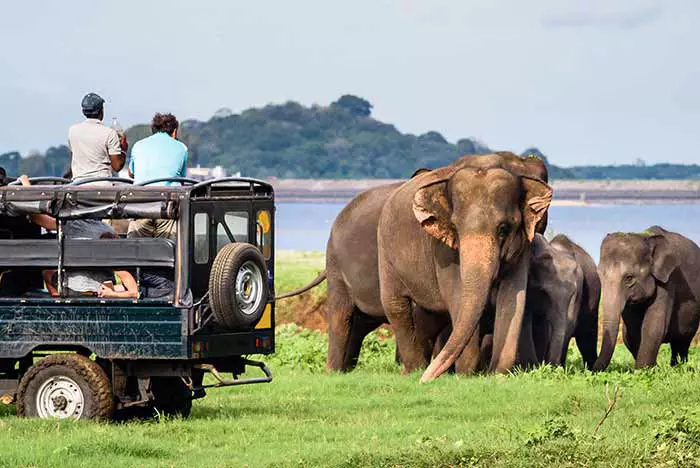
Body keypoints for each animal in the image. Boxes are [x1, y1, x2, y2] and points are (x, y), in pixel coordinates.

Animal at [378, 154, 552, 380]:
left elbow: (513, 296)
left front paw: (496, 375)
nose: (425, 381)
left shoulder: (523, 245)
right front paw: (466, 375)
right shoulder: (443, 250)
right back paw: (414, 371)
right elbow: (457, 295)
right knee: (395, 305)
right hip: (385, 251)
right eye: (455, 228)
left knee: (427, 315)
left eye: (503, 229)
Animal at [524, 234, 600, 370]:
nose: (549, 366)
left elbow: (569, 324)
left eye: (573, 294)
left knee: (587, 339)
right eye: (544, 292)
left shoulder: (579, 287)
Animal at [592, 225, 700, 372]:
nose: (590, 369)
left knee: (682, 341)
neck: (646, 237)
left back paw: (677, 368)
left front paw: (644, 371)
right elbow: (631, 333)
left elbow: (653, 327)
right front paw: (650, 369)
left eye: (629, 278)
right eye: (600, 275)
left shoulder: (668, 281)